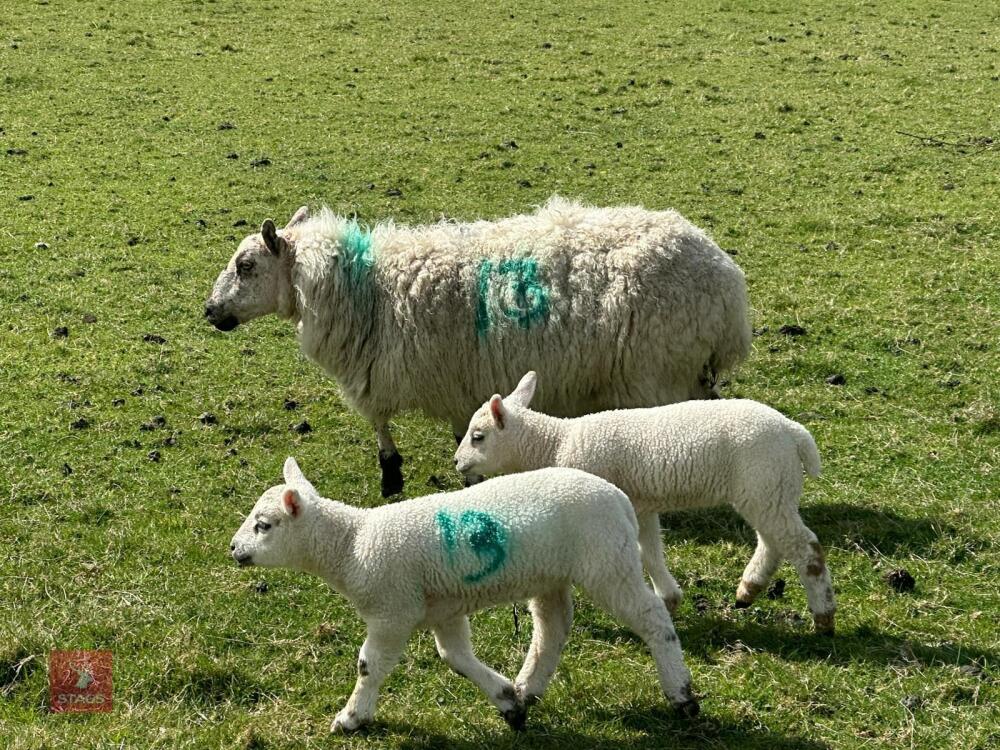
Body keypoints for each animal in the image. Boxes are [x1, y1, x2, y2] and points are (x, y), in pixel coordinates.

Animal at [205, 197, 751, 498]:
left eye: (246, 266)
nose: (210, 311)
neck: (365, 288)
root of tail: (727, 288)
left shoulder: (407, 372)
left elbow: (383, 421)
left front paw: (393, 474)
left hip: (660, 370)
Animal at [229, 457, 700, 733]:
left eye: (264, 526)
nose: (234, 549)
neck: (351, 544)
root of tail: (620, 499)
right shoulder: (443, 608)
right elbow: (455, 657)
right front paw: (507, 700)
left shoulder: (391, 610)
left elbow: (369, 665)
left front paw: (351, 717)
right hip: (553, 572)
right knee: (552, 628)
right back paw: (528, 686)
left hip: (607, 563)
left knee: (654, 619)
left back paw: (682, 694)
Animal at [454, 372, 837, 634]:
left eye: (478, 437)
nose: (457, 463)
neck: (556, 443)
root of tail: (793, 431)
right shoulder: (640, 504)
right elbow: (649, 550)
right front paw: (669, 598)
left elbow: (642, 552)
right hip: (769, 488)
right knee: (773, 540)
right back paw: (749, 589)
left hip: (765, 481)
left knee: (804, 547)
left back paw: (823, 617)